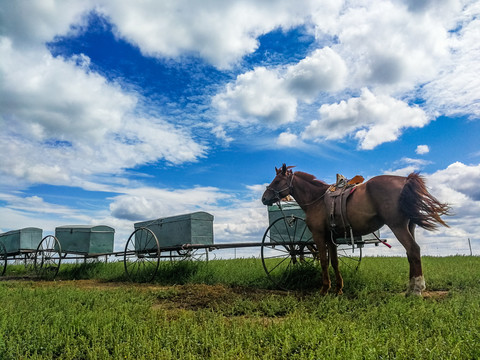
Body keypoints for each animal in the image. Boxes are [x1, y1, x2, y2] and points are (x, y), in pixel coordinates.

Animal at [260, 163, 448, 296]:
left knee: (414, 250)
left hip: (398, 226)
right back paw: (410, 289)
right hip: (409, 226)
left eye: (277, 181)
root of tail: (404, 180)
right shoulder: (331, 239)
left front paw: (324, 289)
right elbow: (334, 262)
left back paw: (417, 289)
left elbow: (323, 261)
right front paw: (338, 289)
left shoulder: (319, 236)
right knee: (411, 254)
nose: (264, 198)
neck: (317, 200)